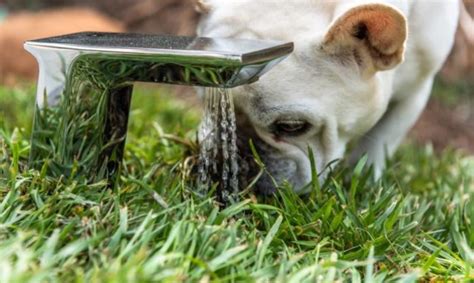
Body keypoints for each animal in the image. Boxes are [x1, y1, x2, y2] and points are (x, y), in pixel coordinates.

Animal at [195, 0, 460, 194]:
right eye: (208, 107)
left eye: (291, 126)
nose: (231, 152)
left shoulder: (417, 89)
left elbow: (381, 138)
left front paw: (363, 181)